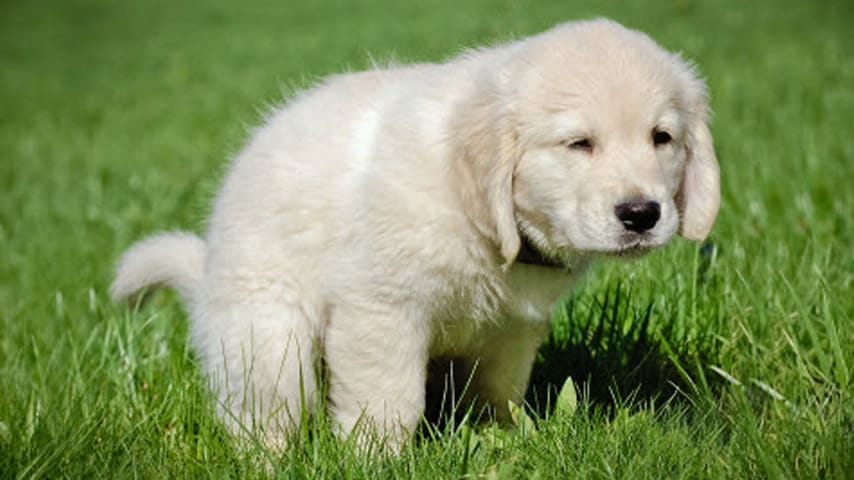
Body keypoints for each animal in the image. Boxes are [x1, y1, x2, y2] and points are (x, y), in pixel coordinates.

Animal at [110, 17, 720, 446]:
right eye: (579, 144)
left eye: (662, 138)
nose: (642, 214)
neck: (483, 222)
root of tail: (208, 275)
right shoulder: (381, 311)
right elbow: (388, 403)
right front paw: (375, 460)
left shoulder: (513, 330)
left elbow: (500, 394)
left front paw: (505, 440)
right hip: (266, 336)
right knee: (263, 416)